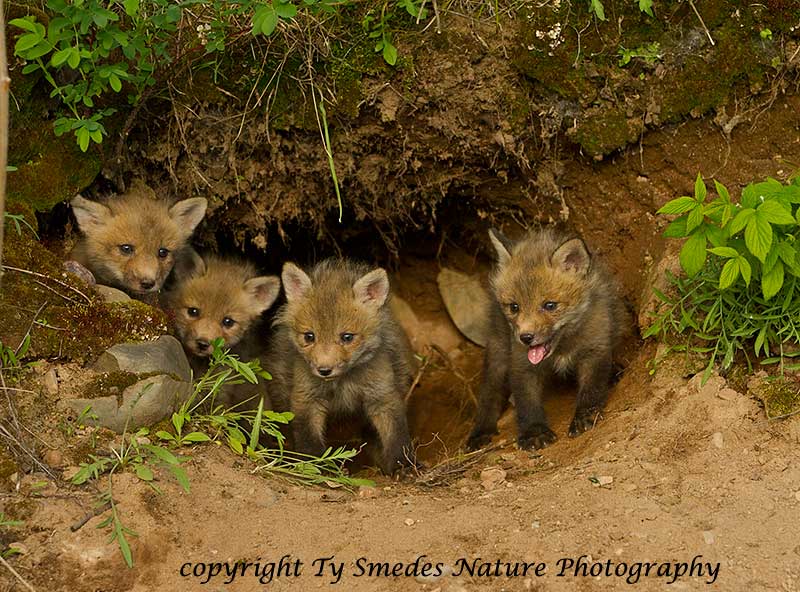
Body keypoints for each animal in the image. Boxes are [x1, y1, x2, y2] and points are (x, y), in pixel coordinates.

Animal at [266, 258, 417, 474]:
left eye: (347, 337)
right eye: (309, 336)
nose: (324, 370)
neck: (343, 383)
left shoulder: (382, 395)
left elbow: (397, 435)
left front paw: (403, 465)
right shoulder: (306, 397)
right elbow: (308, 438)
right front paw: (316, 466)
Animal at [466, 227, 627, 451]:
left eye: (550, 305)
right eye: (514, 307)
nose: (525, 337)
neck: (563, 347)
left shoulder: (595, 348)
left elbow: (592, 389)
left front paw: (585, 416)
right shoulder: (522, 363)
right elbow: (527, 401)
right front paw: (534, 432)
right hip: (499, 351)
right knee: (489, 392)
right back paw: (481, 431)